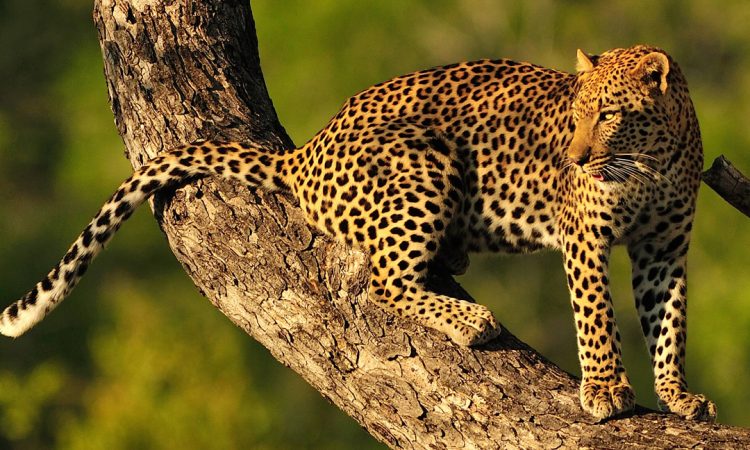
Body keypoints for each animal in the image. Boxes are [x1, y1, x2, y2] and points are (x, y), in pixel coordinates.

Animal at [0, 44, 716, 422]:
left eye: (610, 114)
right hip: (423, 160)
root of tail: (306, 152)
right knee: (383, 282)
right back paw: (470, 321)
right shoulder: (586, 237)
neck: (652, 159)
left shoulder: (665, 248)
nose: (574, 157)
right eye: (576, 114)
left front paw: (678, 397)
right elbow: (597, 316)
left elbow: (670, 321)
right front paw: (606, 390)